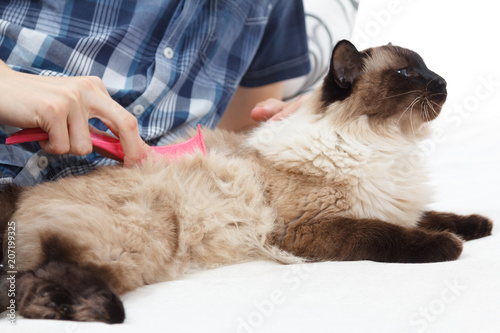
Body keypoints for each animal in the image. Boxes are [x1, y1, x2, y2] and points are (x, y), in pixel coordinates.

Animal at [0, 39, 492, 322]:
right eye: (408, 74)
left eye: (427, 69)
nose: (443, 82)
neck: (389, 143)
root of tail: (21, 191)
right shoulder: (307, 228)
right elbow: (389, 235)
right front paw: (448, 247)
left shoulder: (392, 203)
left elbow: (431, 215)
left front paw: (478, 226)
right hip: (135, 242)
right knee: (43, 278)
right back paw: (102, 311)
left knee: (27, 283)